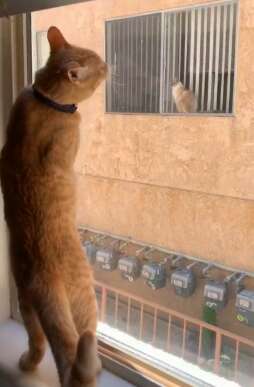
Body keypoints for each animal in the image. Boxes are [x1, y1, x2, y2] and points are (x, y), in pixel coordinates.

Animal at [0, 25, 106, 386]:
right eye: (98, 65)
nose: (108, 65)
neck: (45, 100)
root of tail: (44, 278)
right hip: (86, 300)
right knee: (82, 345)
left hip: (26, 303)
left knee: (39, 343)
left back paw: (25, 365)